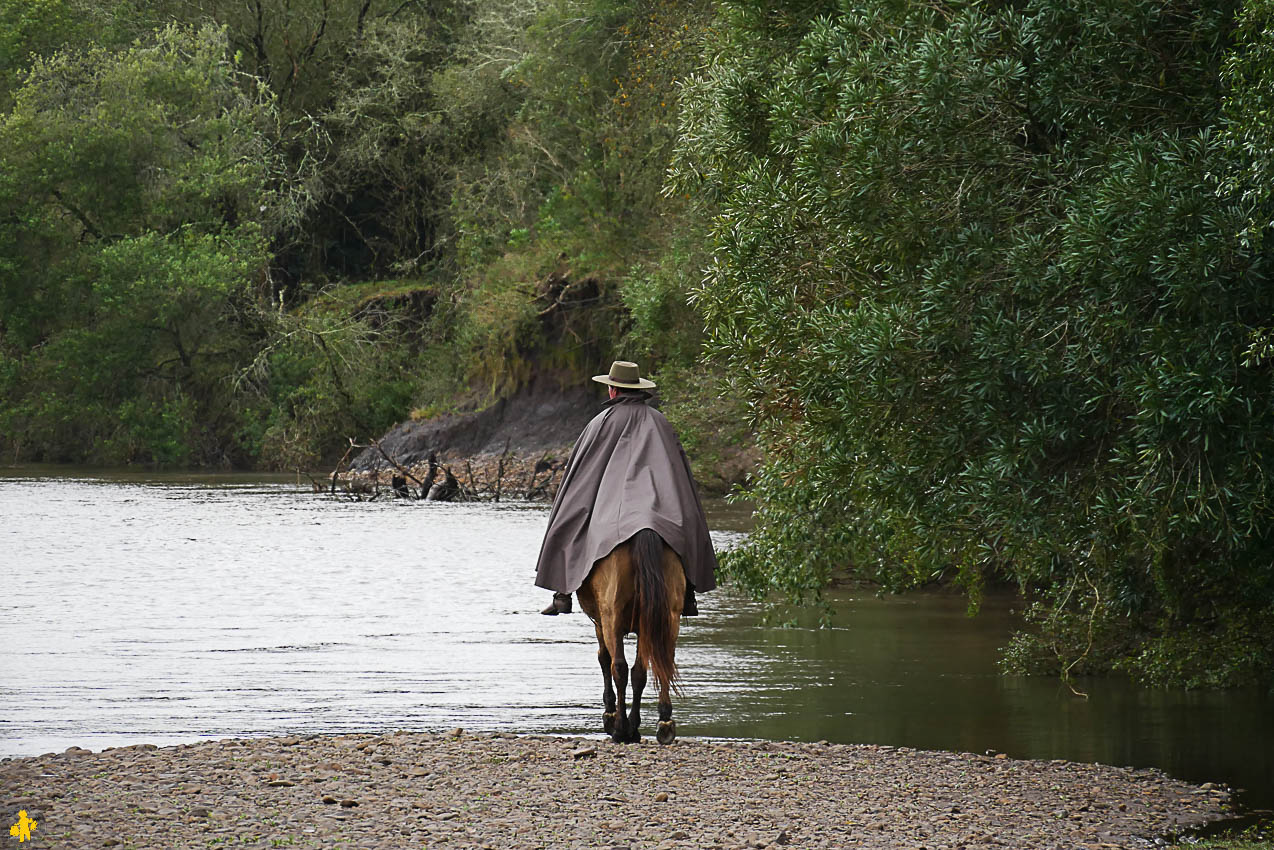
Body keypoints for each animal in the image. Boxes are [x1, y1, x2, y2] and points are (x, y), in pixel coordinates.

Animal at [578, 527, 687, 739]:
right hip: (668, 617)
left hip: (612, 617)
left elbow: (604, 658)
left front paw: (610, 714)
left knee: (619, 667)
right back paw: (662, 723)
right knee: (655, 666)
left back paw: (621, 728)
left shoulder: (601, 620)